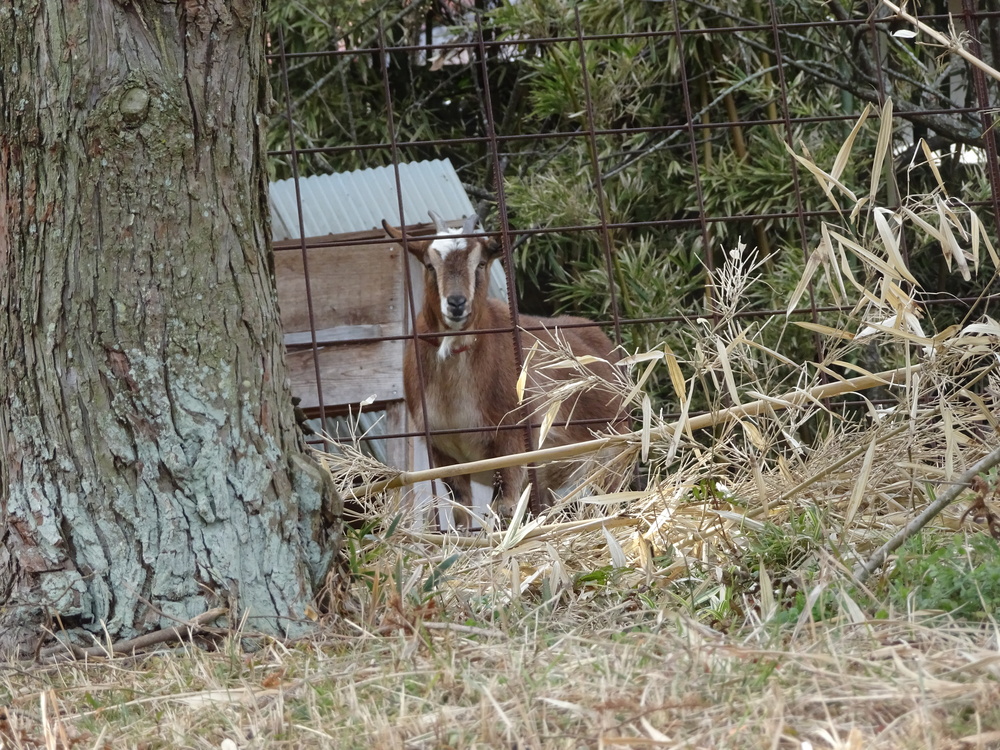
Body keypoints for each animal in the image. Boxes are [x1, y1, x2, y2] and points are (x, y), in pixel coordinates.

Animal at [382, 210, 624, 528]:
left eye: (481, 263)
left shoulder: (512, 439)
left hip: (611, 455)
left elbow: (504, 508)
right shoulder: (441, 450)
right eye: (430, 265)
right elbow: (462, 515)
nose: (457, 303)